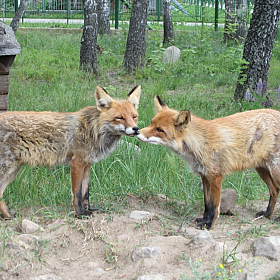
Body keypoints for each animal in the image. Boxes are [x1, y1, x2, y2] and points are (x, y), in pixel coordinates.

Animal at [0, 85, 141, 219]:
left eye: (134, 116)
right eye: (120, 118)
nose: (136, 129)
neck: (94, 130)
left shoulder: (87, 164)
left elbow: (86, 193)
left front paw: (88, 210)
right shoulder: (76, 163)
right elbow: (77, 194)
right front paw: (80, 214)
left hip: (13, 170)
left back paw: (7, 216)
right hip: (7, 169)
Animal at [137, 95, 280, 231]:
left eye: (159, 130)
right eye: (151, 123)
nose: (137, 132)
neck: (200, 143)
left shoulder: (215, 176)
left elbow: (214, 207)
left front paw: (209, 225)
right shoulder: (204, 175)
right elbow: (207, 204)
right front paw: (204, 221)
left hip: (274, 171)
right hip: (262, 169)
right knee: (274, 190)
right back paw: (267, 214)